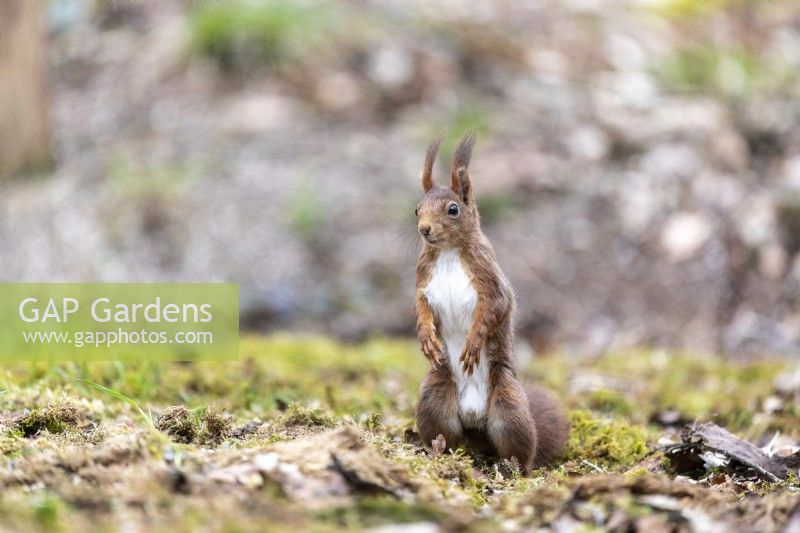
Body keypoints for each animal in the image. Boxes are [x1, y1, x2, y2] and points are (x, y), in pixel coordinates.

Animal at [412, 135, 568, 472]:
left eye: (453, 209)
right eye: (416, 209)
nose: (424, 230)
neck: (448, 253)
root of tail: (475, 423)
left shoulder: (491, 283)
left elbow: (492, 311)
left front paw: (472, 344)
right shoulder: (423, 284)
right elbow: (420, 308)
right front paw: (426, 337)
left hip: (509, 407)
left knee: (521, 448)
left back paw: (512, 468)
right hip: (434, 398)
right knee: (446, 434)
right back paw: (437, 450)